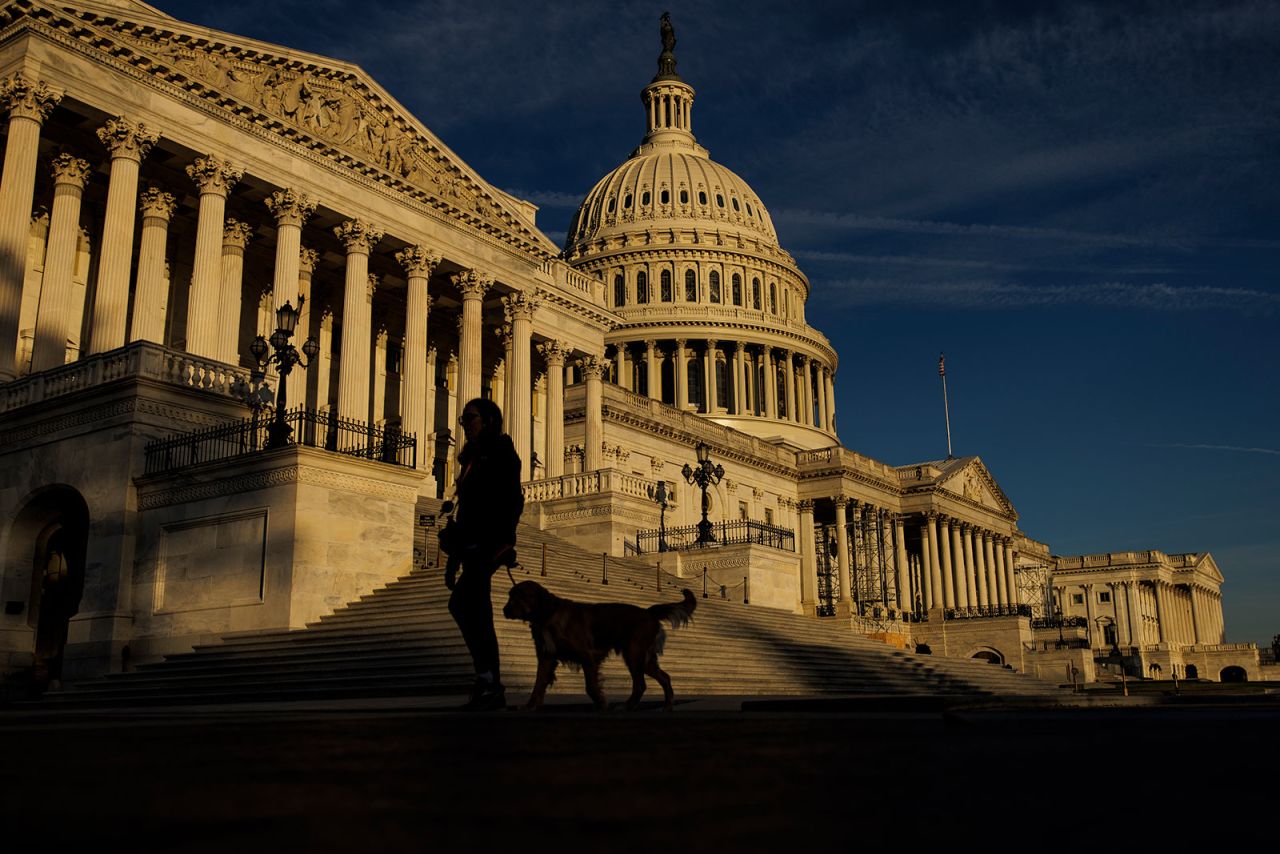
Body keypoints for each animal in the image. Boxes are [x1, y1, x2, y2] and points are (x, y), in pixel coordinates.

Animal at [501, 581, 701, 717]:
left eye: (520, 596)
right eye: (510, 595)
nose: (504, 610)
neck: (547, 615)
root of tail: (648, 612)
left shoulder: (588, 656)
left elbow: (590, 686)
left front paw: (602, 706)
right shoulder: (546, 658)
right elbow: (538, 685)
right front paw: (530, 707)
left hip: (633, 654)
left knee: (640, 684)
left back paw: (627, 706)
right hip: (645, 659)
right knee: (665, 677)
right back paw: (667, 706)